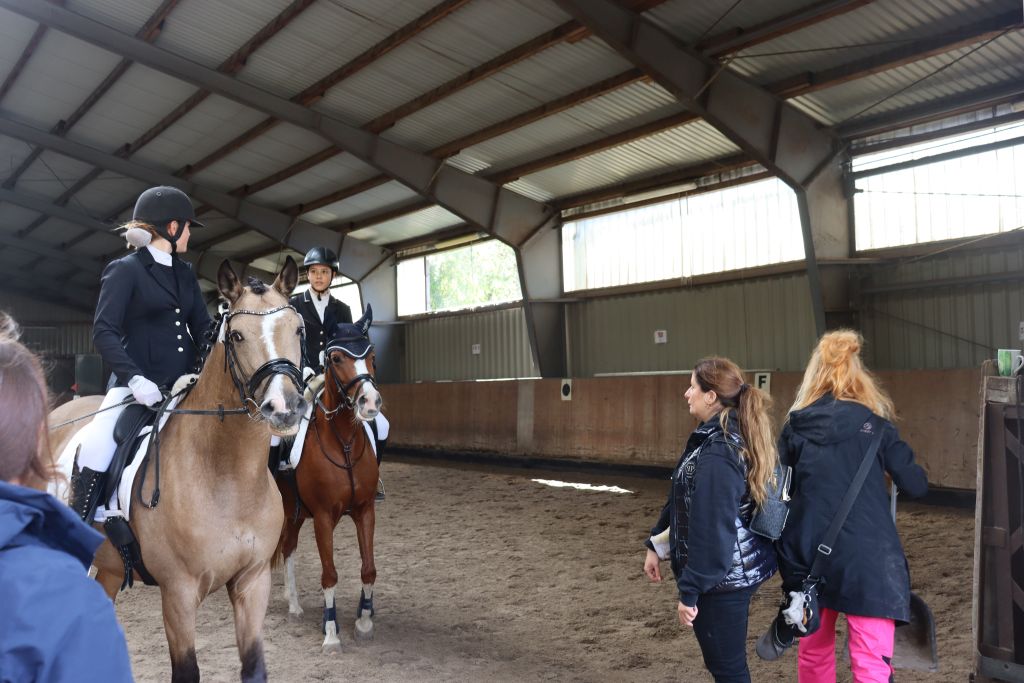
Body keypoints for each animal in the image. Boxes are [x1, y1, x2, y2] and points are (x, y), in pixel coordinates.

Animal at [48, 258, 307, 683]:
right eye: (236, 336)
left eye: (298, 329)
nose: (284, 408)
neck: (227, 476)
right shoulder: (179, 594)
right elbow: (186, 671)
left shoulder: (252, 583)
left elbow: (254, 667)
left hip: (108, 566)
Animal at [274, 305, 382, 653]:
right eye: (336, 358)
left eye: (371, 354)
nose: (370, 402)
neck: (344, 441)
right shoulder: (323, 517)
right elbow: (330, 574)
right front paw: (331, 632)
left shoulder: (365, 510)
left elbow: (368, 568)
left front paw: (364, 621)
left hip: (294, 512)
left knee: (288, 546)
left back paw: (293, 601)